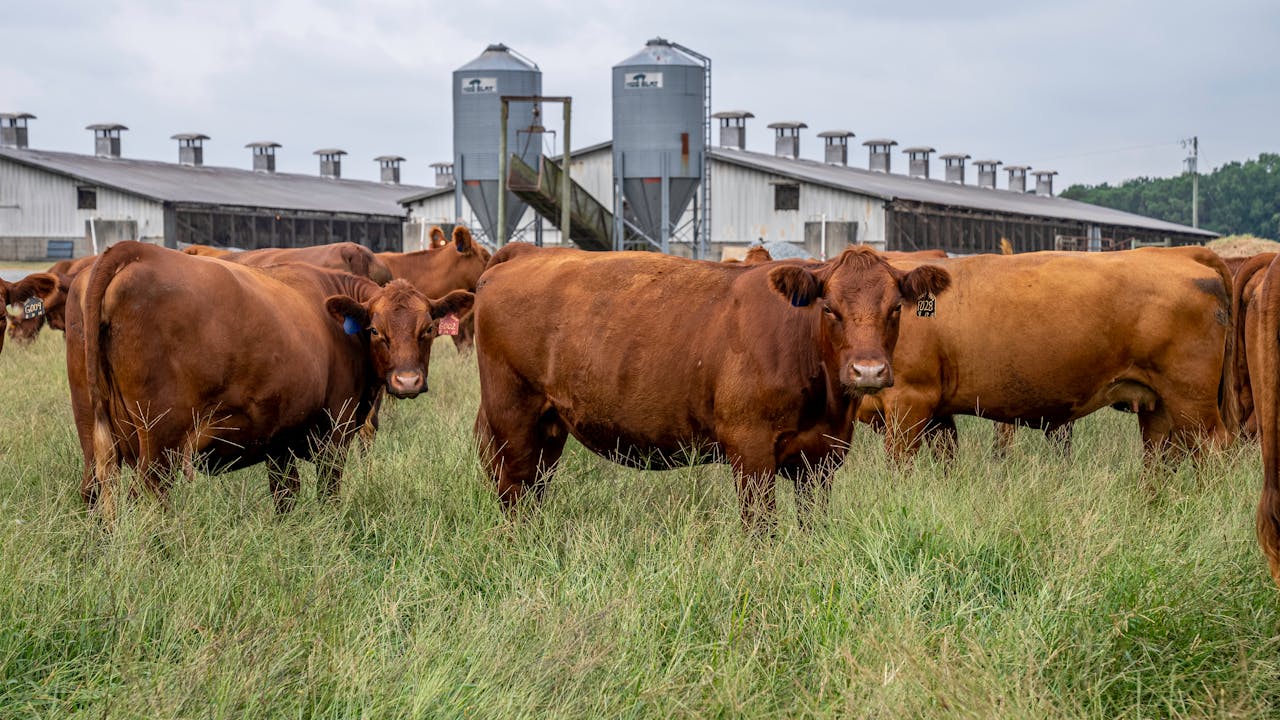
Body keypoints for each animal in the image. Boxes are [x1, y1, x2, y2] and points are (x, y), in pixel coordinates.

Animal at [65, 241, 473, 522]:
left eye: (428, 328)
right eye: (375, 330)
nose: (407, 381)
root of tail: (133, 250)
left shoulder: (280, 439)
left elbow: (285, 496)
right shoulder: (335, 432)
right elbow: (328, 493)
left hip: (91, 428)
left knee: (93, 491)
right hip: (159, 442)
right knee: (150, 498)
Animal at [472, 244, 951, 529]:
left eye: (895, 308)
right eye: (829, 308)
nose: (868, 372)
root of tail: (528, 251)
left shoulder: (821, 458)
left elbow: (811, 525)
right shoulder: (750, 450)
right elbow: (761, 528)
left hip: (549, 425)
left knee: (533, 489)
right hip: (513, 416)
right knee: (513, 489)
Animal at [857, 247, 1235, 465]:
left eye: (893, 307)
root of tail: (1180, 253)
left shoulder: (910, 400)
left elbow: (900, 463)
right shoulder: (938, 412)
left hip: (1191, 400)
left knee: (1213, 448)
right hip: (1157, 402)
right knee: (1158, 455)